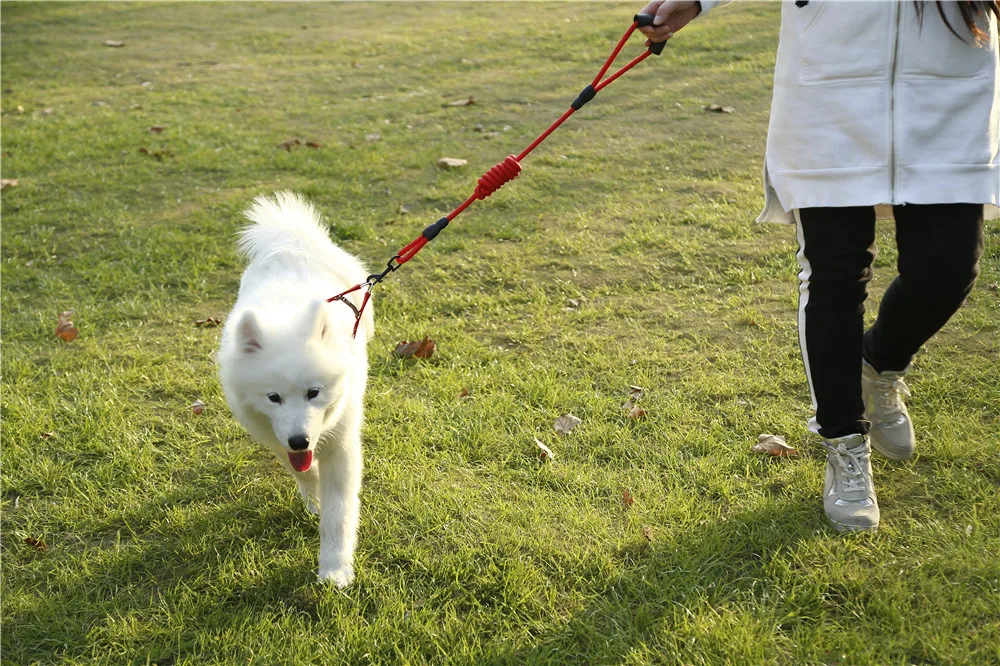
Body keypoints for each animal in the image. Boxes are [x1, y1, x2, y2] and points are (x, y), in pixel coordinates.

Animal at [219, 189, 376, 584]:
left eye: (313, 393)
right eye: (273, 398)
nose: (300, 441)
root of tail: (292, 240)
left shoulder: (341, 445)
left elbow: (339, 514)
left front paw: (335, 570)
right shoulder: (273, 437)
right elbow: (302, 474)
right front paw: (312, 498)